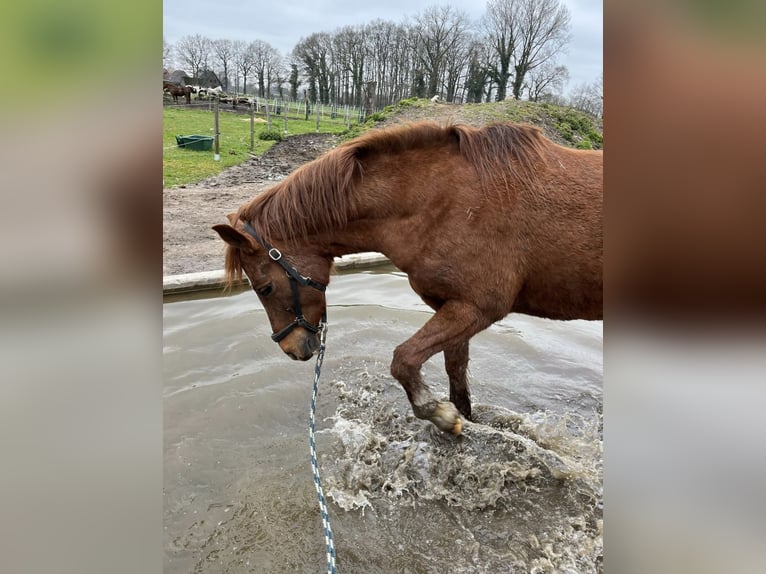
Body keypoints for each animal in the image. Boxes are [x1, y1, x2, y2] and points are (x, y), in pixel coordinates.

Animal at [213, 122, 604, 436]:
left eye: (264, 287)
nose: (292, 349)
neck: (443, 201)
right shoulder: (453, 307)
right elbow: (455, 371)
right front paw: (460, 418)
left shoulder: (477, 307)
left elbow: (404, 359)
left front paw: (438, 414)